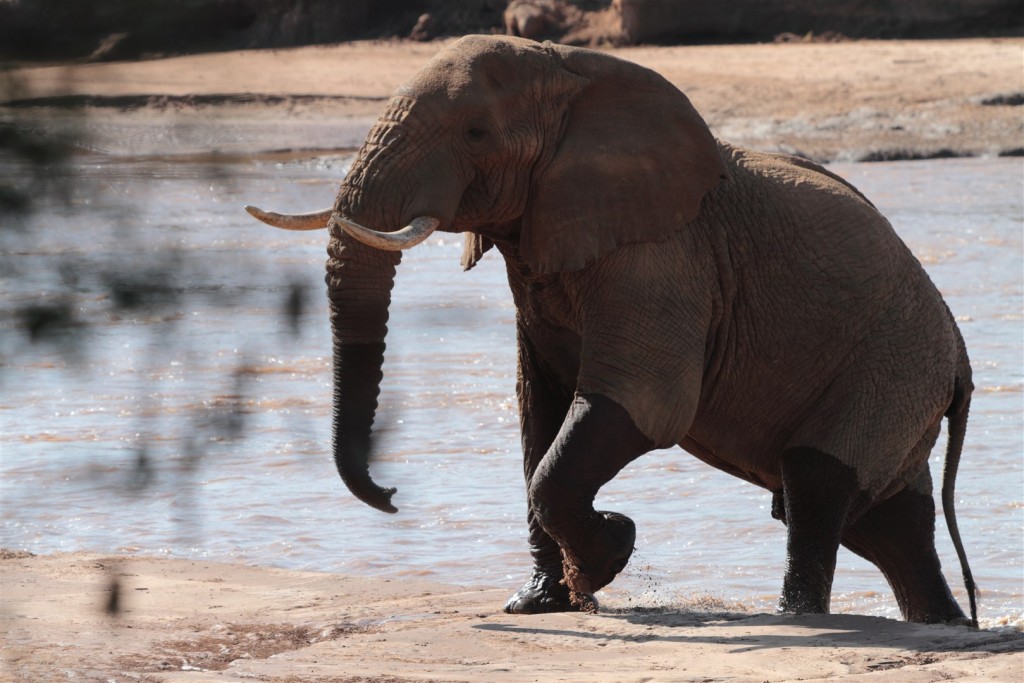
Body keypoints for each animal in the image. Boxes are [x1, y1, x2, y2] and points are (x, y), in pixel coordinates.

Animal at [246, 35, 977, 626]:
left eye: (476, 133)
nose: (392, 495)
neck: (572, 72)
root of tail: (960, 356)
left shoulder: (663, 256)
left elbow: (642, 404)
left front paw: (608, 555)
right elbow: (538, 414)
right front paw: (539, 602)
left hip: (892, 367)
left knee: (818, 485)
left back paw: (798, 616)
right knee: (888, 521)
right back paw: (944, 625)